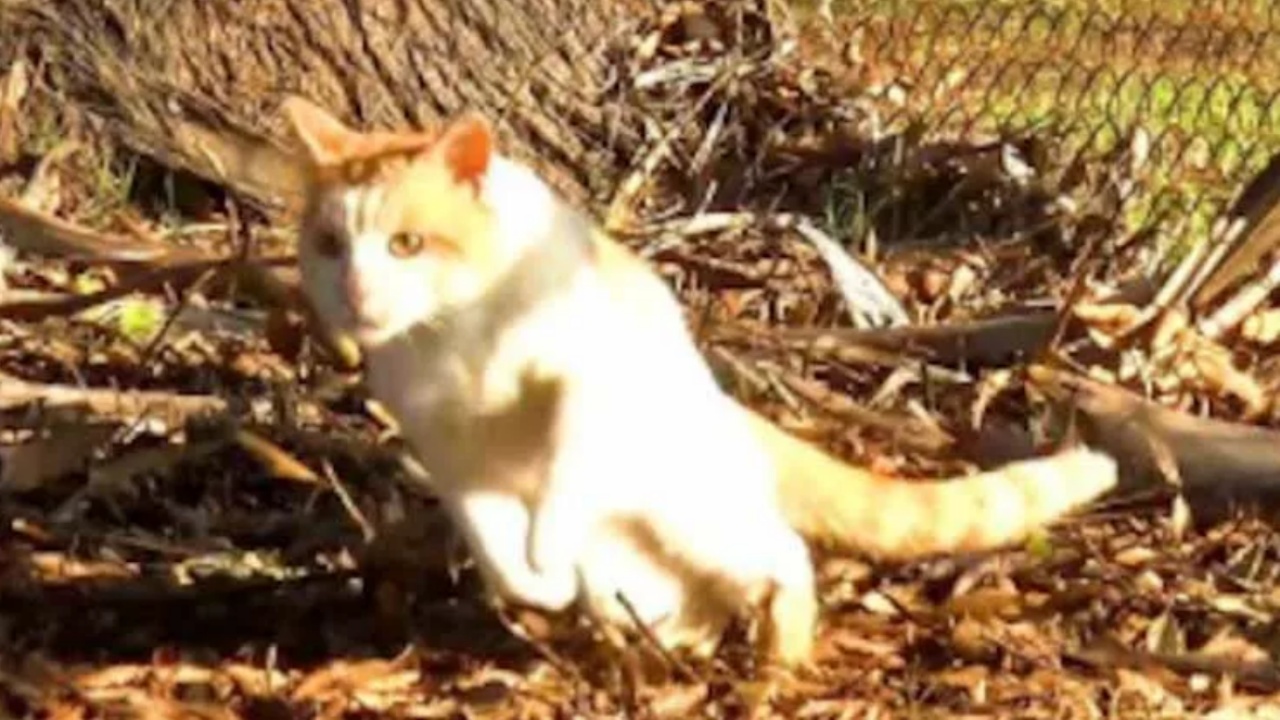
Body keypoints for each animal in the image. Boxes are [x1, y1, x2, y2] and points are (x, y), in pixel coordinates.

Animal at [282, 96, 1121, 666]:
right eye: (328, 245)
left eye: (406, 243)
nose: (353, 292)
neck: (453, 332)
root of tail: (730, 415)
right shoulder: (451, 455)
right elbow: (494, 545)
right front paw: (533, 581)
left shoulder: (589, 380)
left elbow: (560, 473)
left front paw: (545, 538)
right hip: (632, 564)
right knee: (685, 597)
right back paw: (668, 643)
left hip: (696, 513)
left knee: (783, 553)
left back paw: (779, 662)